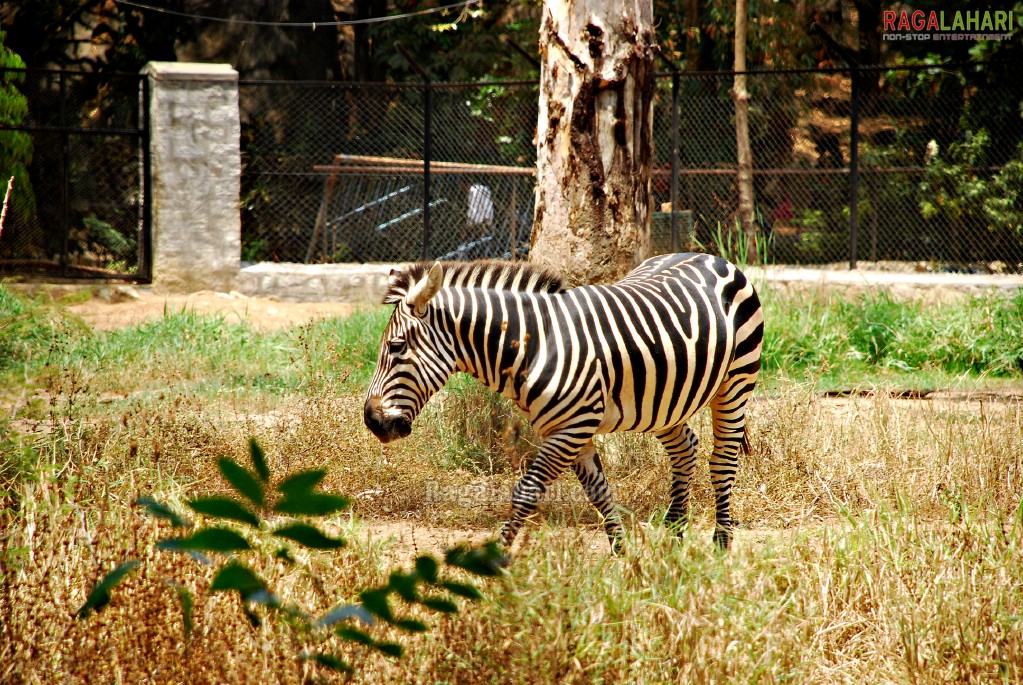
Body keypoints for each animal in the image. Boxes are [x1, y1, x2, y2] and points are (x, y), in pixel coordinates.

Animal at [364, 254, 765, 556]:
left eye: (396, 347)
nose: (372, 421)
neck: (535, 345)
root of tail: (712, 256)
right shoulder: (568, 430)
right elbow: (598, 491)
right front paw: (623, 556)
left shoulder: (571, 429)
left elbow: (526, 492)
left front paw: (494, 564)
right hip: (664, 401)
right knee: (685, 448)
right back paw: (674, 534)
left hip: (736, 381)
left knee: (722, 460)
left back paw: (721, 544)